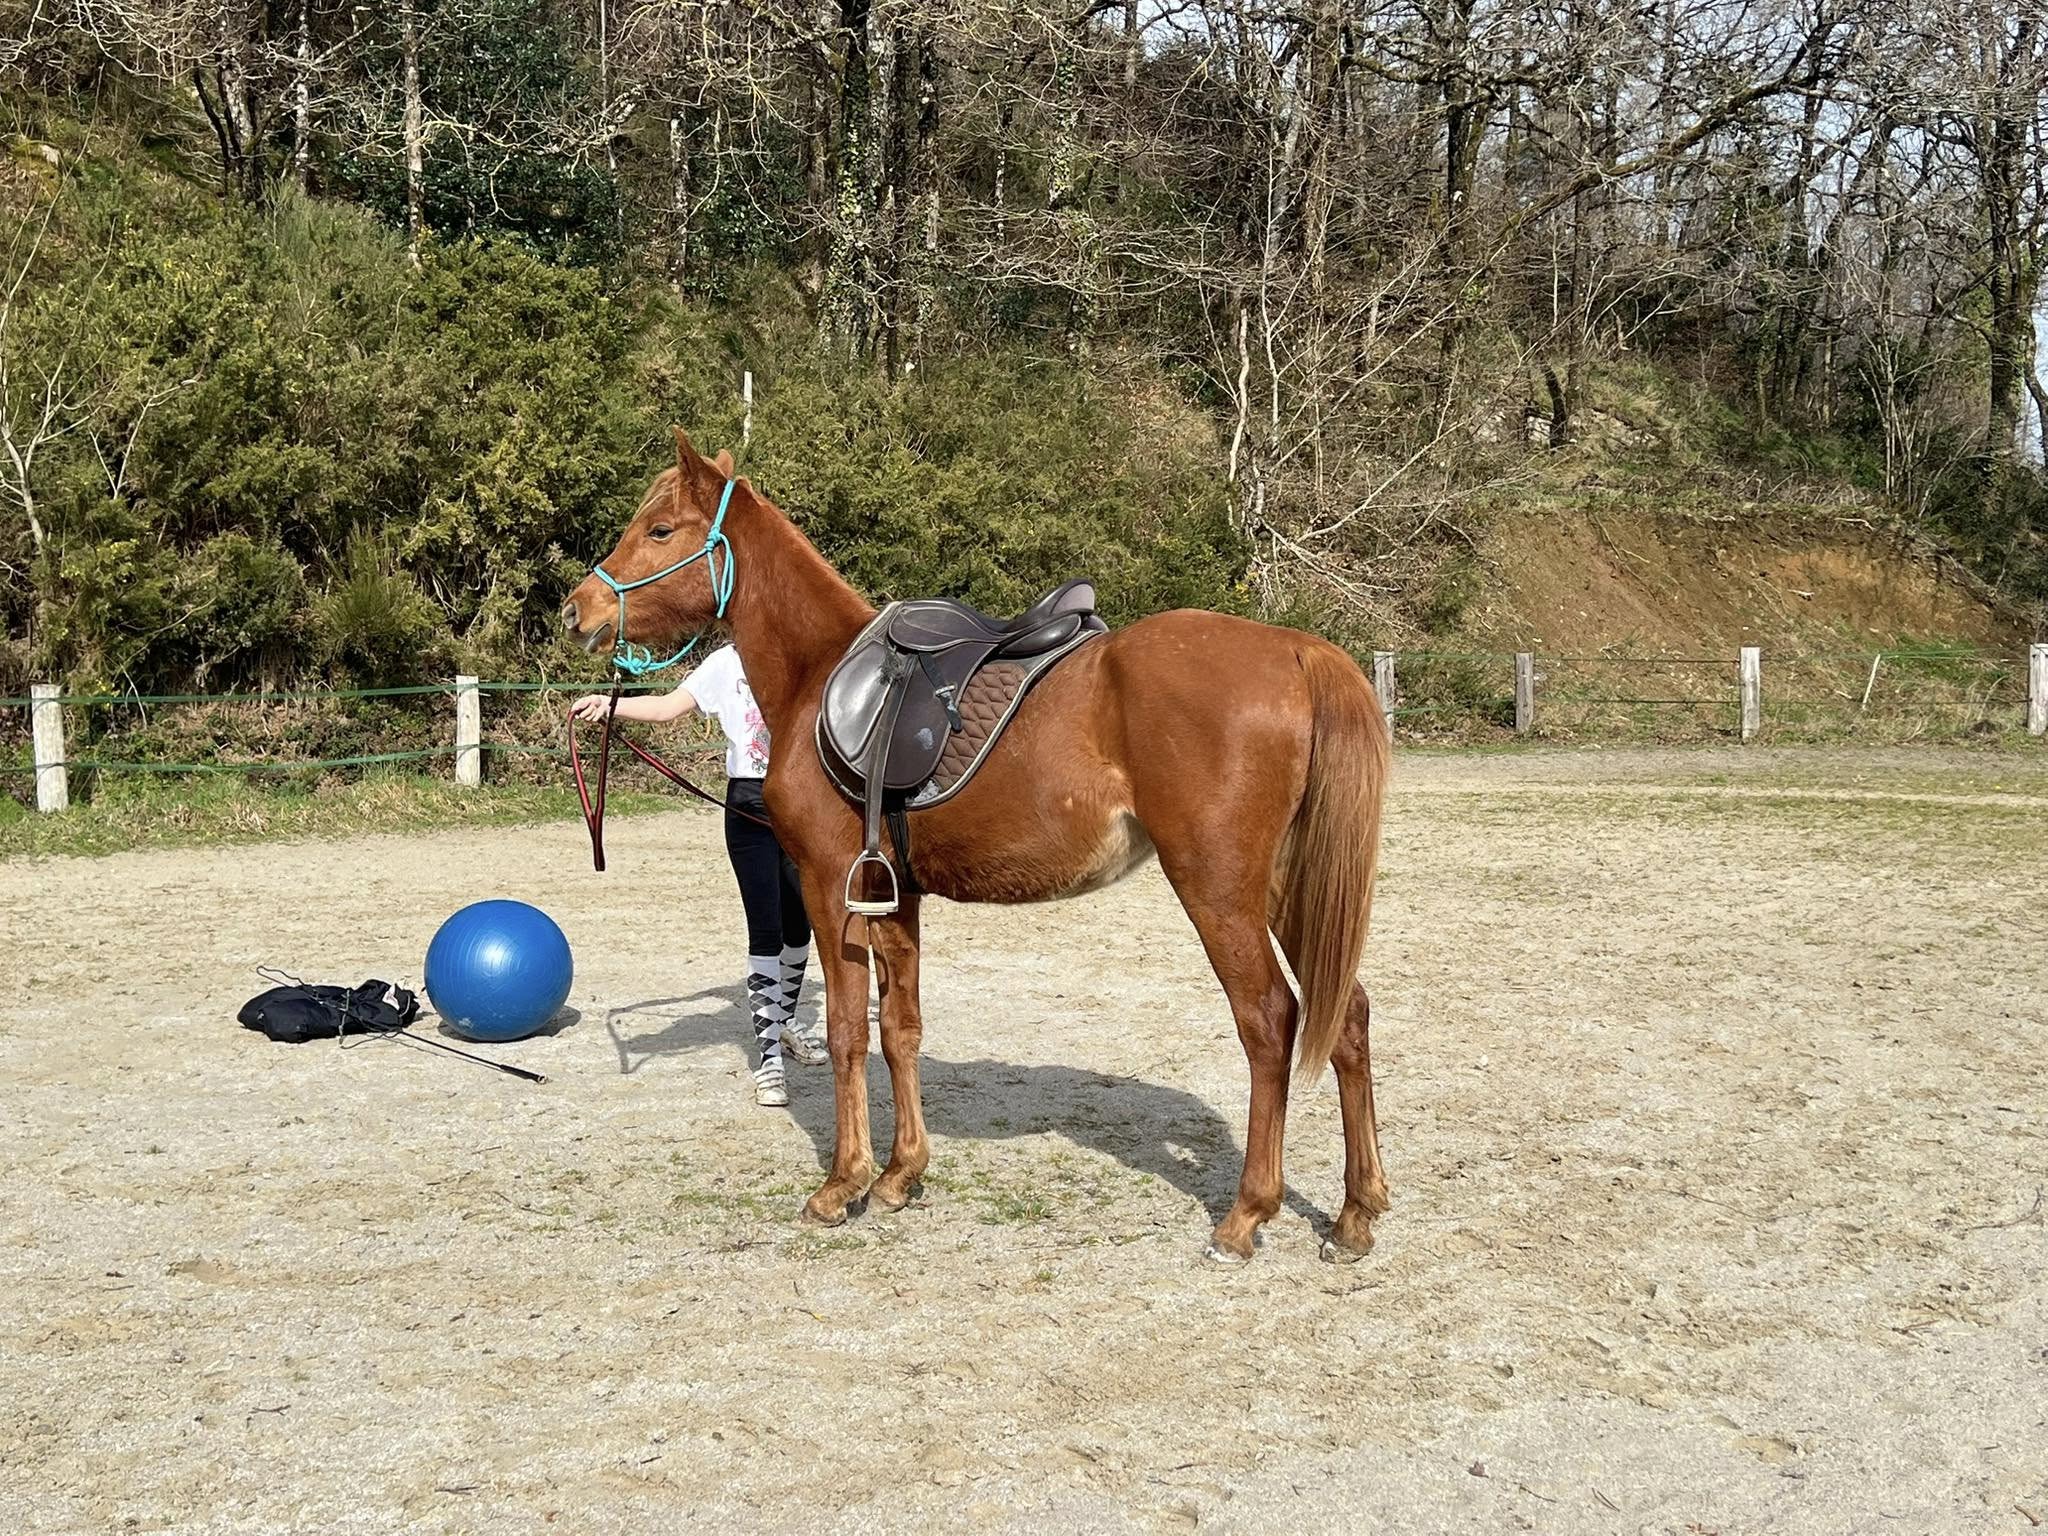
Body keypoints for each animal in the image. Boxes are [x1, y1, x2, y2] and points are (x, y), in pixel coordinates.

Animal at [560, 429, 1393, 1263]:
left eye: (660, 530)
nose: (578, 608)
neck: (816, 676)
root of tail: (1296, 651)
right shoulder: (893, 895)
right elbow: (899, 1029)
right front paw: (900, 1175)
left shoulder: (830, 888)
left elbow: (845, 1032)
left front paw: (842, 1184)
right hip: (1283, 888)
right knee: (1347, 1014)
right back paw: (1355, 1215)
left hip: (1218, 888)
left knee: (1269, 1020)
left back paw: (1246, 1214)